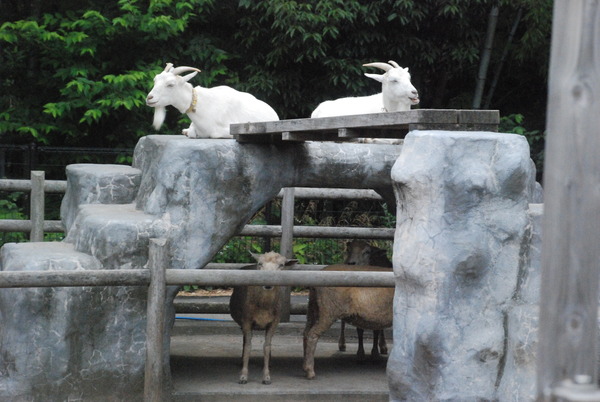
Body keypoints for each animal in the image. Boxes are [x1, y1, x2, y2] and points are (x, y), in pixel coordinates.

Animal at [230, 253, 296, 384]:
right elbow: (248, 347)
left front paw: (266, 376)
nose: (268, 284)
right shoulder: (247, 321)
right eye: (260, 264)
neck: (264, 306)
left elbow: (266, 347)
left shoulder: (274, 323)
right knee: (245, 341)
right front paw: (243, 376)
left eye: (282, 265)